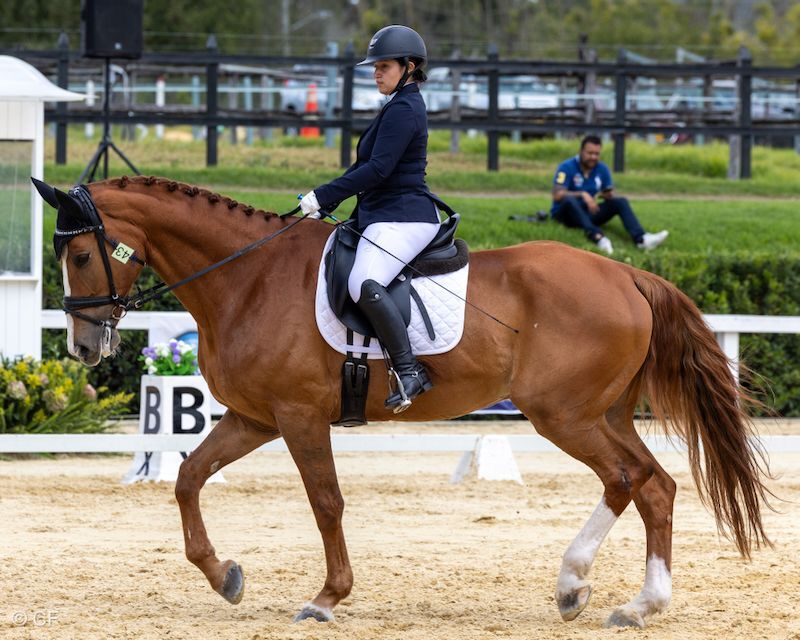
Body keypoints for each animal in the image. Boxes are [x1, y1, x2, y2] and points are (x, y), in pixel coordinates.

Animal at [33, 175, 772, 629]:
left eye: (80, 257)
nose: (84, 347)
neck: (247, 277)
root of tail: (627, 274)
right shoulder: (254, 418)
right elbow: (186, 477)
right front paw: (226, 577)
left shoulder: (299, 417)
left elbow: (326, 502)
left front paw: (326, 598)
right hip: (603, 413)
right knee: (655, 486)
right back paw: (637, 603)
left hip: (565, 414)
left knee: (626, 479)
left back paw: (575, 583)